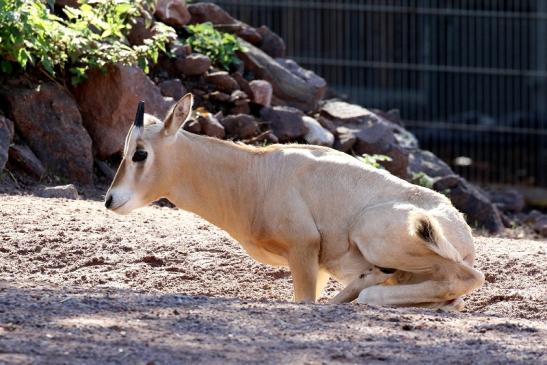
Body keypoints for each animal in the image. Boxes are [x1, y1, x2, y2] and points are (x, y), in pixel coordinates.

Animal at [105, 92, 486, 308]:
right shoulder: (318, 268)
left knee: (467, 277)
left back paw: (369, 293)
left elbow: (303, 301)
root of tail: (460, 230)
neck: (254, 174)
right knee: (450, 297)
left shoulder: (303, 250)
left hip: (372, 233)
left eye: (140, 153)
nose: (110, 200)